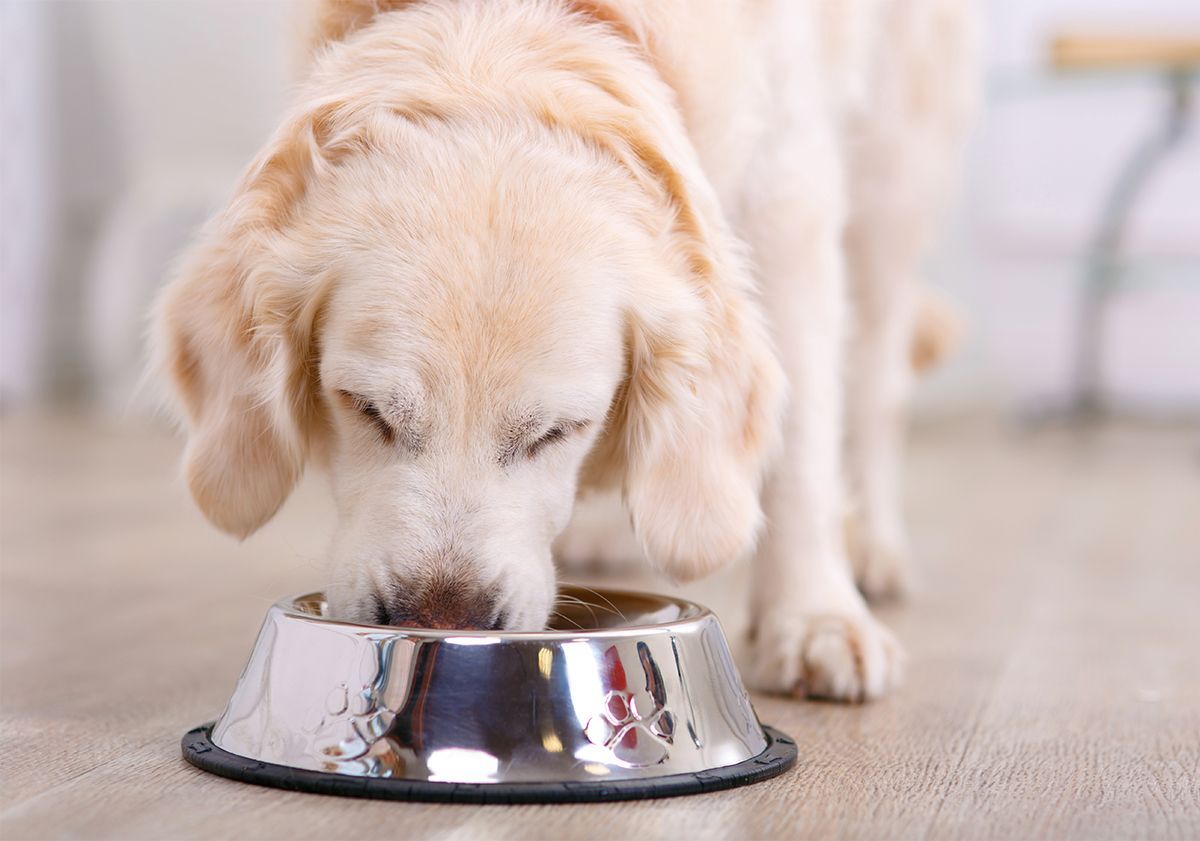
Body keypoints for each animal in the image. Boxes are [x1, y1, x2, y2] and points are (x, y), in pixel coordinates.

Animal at [152, 0, 974, 700]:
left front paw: (814, 618)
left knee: (875, 382)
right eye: (366, 410)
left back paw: (873, 549)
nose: (442, 622)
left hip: (895, 172)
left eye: (558, 431)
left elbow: (802, 441)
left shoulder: (789, 195)